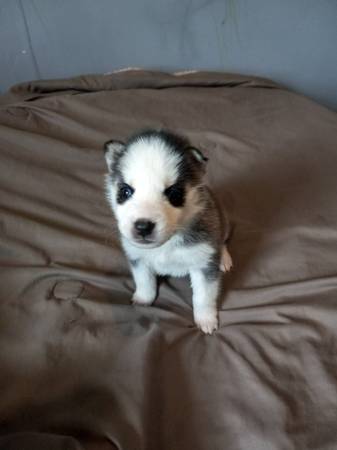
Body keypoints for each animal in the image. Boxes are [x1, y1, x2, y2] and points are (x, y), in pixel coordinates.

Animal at [103, 130, 232, 334]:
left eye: (174, 194)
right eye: (125, 192)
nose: (143, 226)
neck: (167, 243)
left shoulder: (203, 263)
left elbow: (203, 297)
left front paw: (206, 319)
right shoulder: (138, 258)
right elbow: (144, 281)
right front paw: (144, 298)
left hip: (223, 222)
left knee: (223, 240)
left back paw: (224, 258)